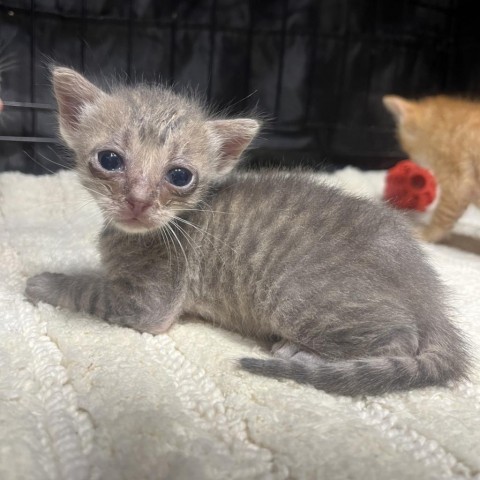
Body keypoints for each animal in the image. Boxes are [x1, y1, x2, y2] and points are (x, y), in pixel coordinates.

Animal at [25, 68, 468, 398]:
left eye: (180, 176)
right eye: (110, 159)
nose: (138, 200)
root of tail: (427, 289)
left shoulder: (150, 304)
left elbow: (91, 290)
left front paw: (47, 283)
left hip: (297, 297)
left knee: (399, 339)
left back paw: (302, 355)